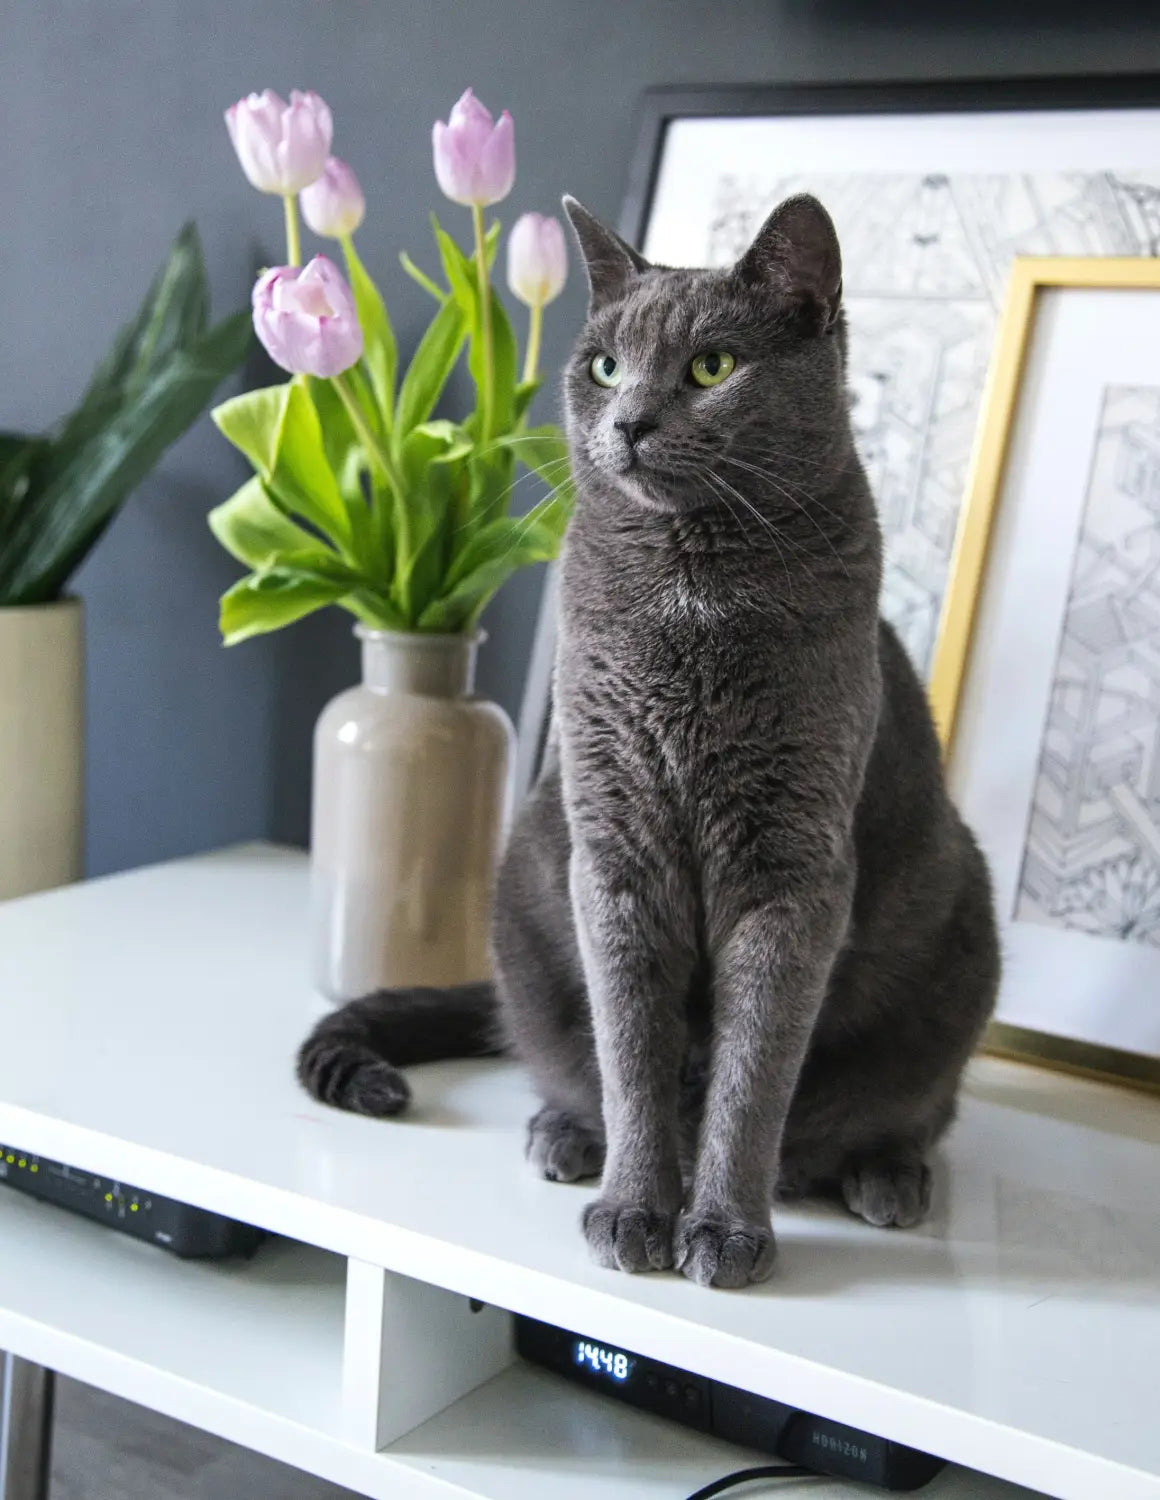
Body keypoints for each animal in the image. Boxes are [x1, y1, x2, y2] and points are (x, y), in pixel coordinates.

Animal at [298, 190, 996, 1290]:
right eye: (602, 366)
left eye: (711, 366)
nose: (626, 421)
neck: (688, 591)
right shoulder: (614, 845)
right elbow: (632, 1051)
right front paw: (637, 1207)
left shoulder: (792, 868)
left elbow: (754, 1073)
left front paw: (722, 1228)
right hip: (529, 882)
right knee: (565, 1060)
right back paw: (564, 1135)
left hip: (961, 923)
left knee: (914, 1108)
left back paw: (883, 1176)